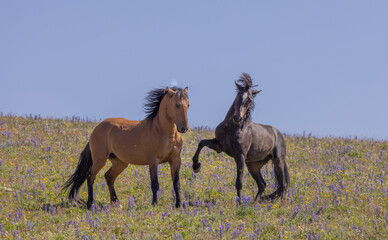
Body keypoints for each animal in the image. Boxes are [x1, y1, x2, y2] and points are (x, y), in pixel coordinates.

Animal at [192, 73, 290, 202]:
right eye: (239, 95)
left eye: (250, 99)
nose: (237, 118)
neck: (231, 128)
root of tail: (278, 134)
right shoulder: (219, 146)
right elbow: (201, 143)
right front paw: (196, 166)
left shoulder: (240, 156)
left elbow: (239, 182)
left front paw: (239, 203)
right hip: (253, 166)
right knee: (262, 184)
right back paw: (254, 203)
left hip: (278, 160)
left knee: (283, 185)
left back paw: (281, 204)